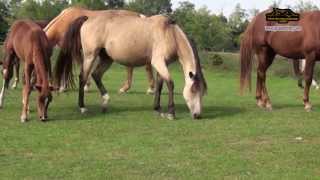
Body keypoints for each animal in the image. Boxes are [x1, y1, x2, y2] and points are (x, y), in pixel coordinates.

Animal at [55, 14, 208, 119]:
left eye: (202, 92)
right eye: (194, 90)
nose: (198, 115)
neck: (169, 33)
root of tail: (88, 19)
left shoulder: (162, 65)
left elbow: (159, 86)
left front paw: (157, 109)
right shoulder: (158, 62)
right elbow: (170, 83)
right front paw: (171, 113)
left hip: (106, 59)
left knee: (96, 75)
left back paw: (105, 102)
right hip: (90, 56)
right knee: (83, 77)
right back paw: (82, 107)